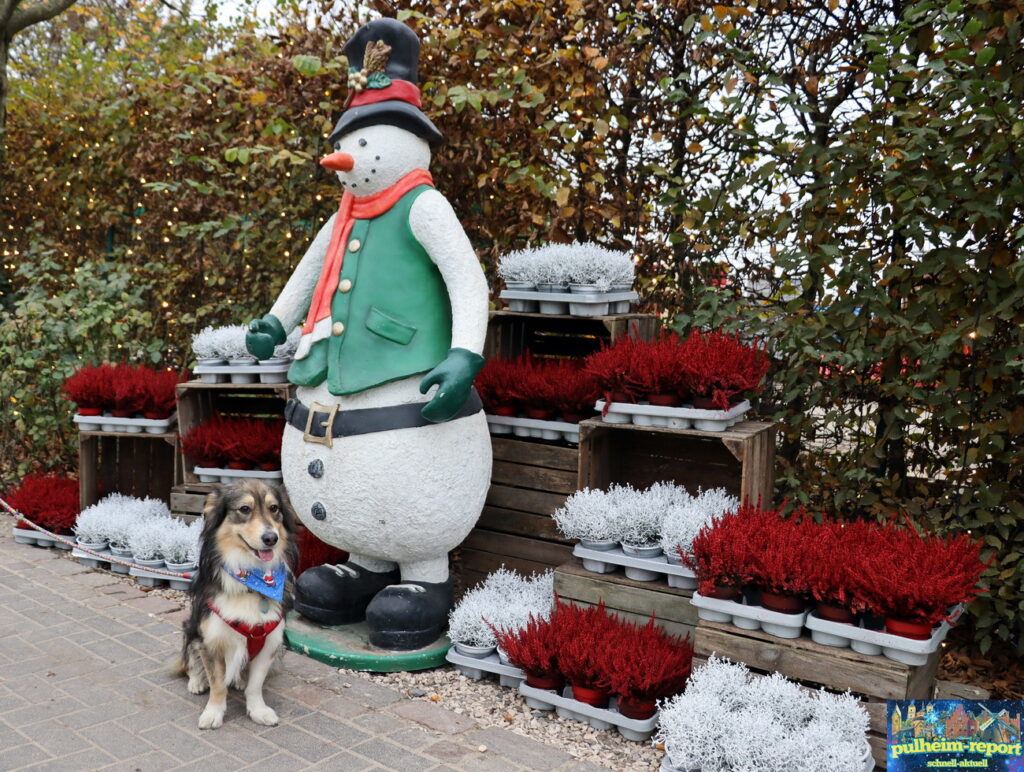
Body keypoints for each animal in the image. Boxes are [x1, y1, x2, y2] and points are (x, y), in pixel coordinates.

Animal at [176, 481, 294, 728]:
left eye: (274, 508)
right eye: (244, 509)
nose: (271, 538)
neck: (252, 583)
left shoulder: (270, 644)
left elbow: (256, 685)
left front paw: (258, 710)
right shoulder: (210, 640)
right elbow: (218, 684)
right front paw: (213, 712)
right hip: (190, 630)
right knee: (191, 660)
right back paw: (196, 681)